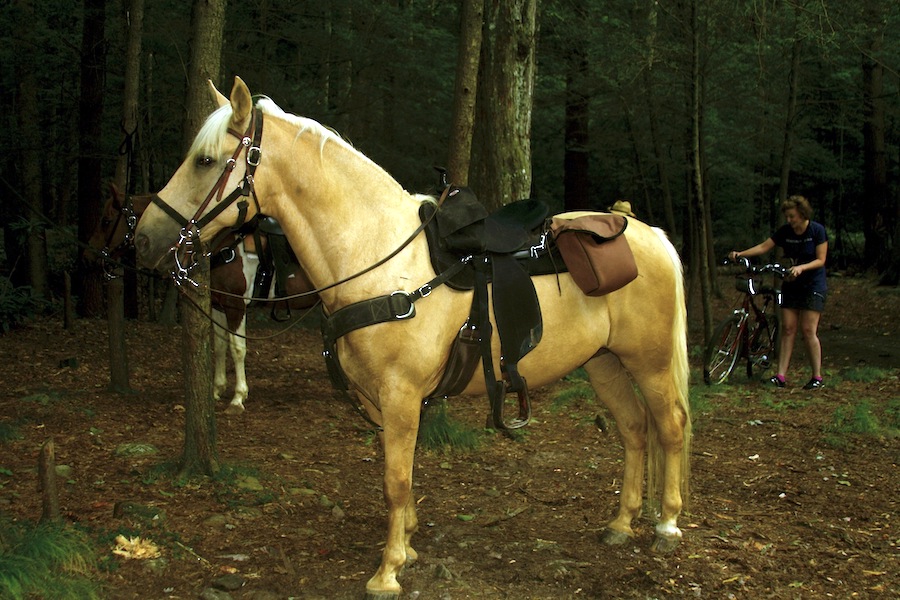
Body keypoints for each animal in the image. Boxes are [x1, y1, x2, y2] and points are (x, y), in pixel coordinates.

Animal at [88, 185, 318, 414]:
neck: (224, 246)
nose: (90, 256)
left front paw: (238, 397)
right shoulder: (219, 305)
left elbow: (237, 348)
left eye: (106, 221)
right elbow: (220, 345)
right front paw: (217, 389)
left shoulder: (236, 306)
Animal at [132, 77, 688, 596]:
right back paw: (622, 523)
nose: (142, 239)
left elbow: (395, 481)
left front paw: (388, 570)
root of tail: (648, 233)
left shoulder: (400, 394)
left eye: (205, 161)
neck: (377, 258)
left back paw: (666, 523)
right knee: (634, 429)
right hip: (604, 362)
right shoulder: (380, 399)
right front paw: (410, 542)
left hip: (650, 363)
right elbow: (400, 475)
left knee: (670, 427)